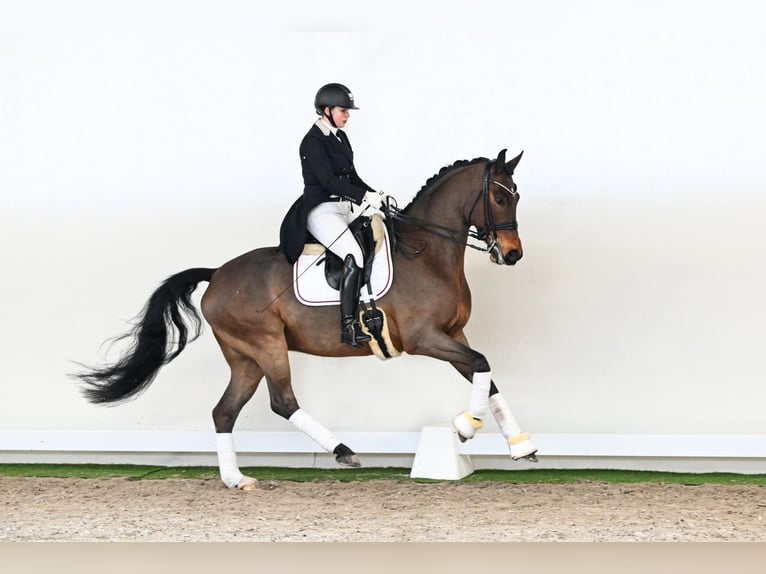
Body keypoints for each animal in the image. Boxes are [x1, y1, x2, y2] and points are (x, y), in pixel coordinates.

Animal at [74, 148, 537, 490]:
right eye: (500, 197)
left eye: (515, 196)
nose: (512, 254)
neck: (427, 254)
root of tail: (217, 273)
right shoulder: (424, 337)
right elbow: (481, 364)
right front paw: (465, 427)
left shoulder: (454, 333)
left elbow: (485, 375)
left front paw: (519, 446)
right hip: (266, 345)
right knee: (282, 402)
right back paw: (343, 451)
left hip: (245, 358)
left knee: (224, 412)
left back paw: (236, 479)